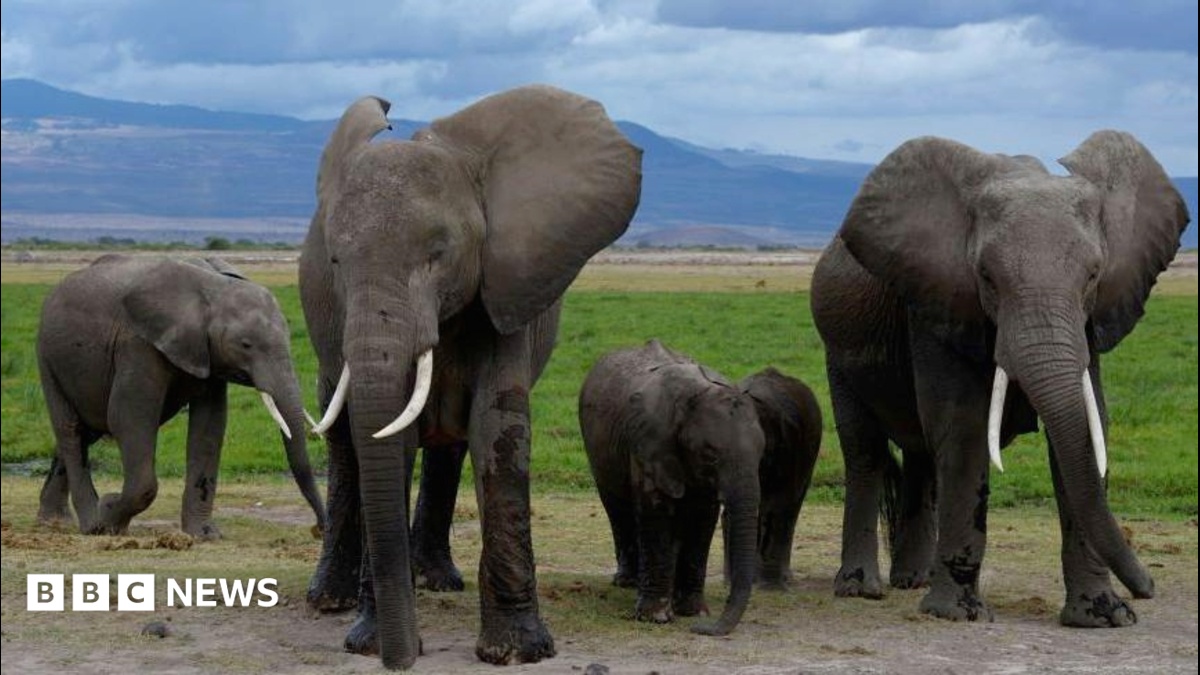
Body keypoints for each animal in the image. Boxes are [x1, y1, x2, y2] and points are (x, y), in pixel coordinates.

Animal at [36, 254, 325, 538]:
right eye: (246, 345)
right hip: (47, 358)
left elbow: (209, 427)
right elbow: (128, 418)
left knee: (87, 431)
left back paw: (54, 521)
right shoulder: (138, 344)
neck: (212, 289)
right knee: (71, 431)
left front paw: (204, 535)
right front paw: (109, 516)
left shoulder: (206, 355)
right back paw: (90, 524)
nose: (319, 529)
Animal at [299, 85, 641, 669]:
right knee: (346, 444)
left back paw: (435, 581)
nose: (401, 660)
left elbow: (496, 431)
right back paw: (329, 601)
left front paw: (518, 652)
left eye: (438, 254)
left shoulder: (505, 286)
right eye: (336, 262)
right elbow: (390, 439)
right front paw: (368, 643)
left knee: (449, 445)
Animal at [578, 340, 765, 636]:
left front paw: (692, 612)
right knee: (617, 509)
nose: (702, 629)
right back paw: (627, 582)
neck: (695, 395)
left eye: (762, 453)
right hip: (596, 448)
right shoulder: (649, 444)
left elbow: (702, 519)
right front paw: (656, 617)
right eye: (710, 455)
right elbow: (656, 514)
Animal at [810, 131, 1189, 627]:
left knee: (921, 457)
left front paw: (1104, 617)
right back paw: (861, 589)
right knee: (865, 452)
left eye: (1093, 276)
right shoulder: (938, 302)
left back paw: (914, 580)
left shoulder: (1087, 323)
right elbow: (964, 429)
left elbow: (1087, 432)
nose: (1148, 589)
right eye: (987, 277)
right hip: (838, 351)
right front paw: (958, 615)